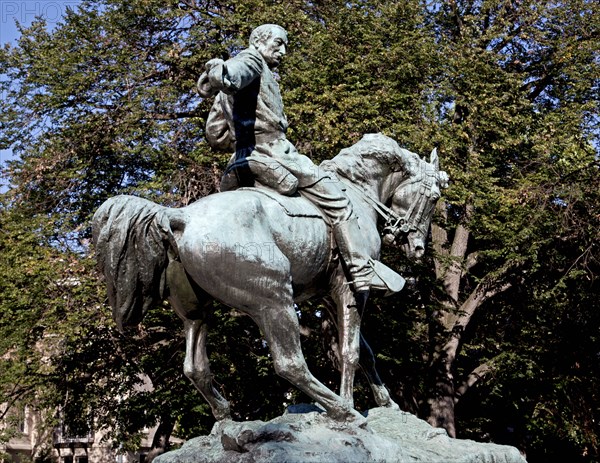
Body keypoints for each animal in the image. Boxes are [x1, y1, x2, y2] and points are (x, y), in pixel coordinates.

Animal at [94, 132, 448, 426]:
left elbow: (365, 351)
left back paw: (226, 418)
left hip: (196, 311)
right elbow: (352, 351)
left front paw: (387, 403)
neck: (358, 195)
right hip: (274, 298)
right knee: (290, 364)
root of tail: (180, 216)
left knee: (195, 367)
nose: (418, 247)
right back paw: (339, 410)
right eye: (433, 198)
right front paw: (353, 404)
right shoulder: (351, 290)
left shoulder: (329, 296)